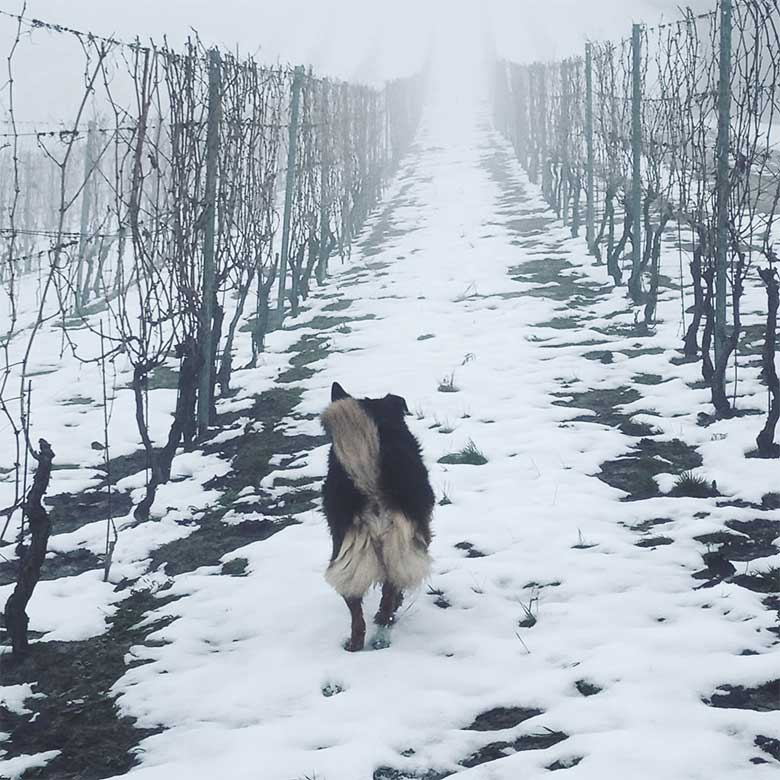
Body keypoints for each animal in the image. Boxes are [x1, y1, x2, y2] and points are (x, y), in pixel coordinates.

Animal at [320, 380, 436, 648]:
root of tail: (369, 487)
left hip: (345, 548)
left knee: (354, 605)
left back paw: (355, 643)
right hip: (400, 541)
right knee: (390, 587)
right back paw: (386, 618)